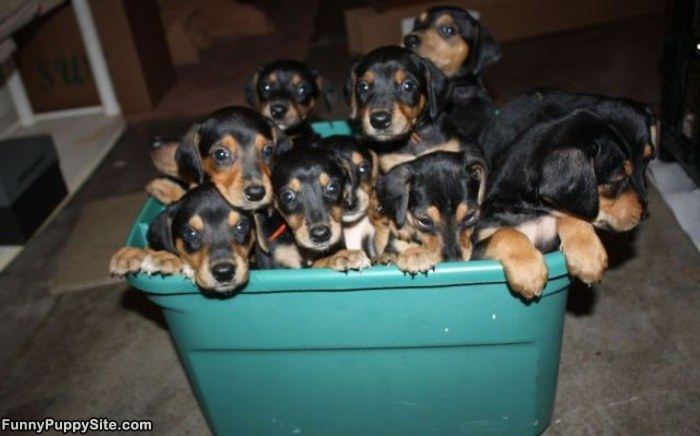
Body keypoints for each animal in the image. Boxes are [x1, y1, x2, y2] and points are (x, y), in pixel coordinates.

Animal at [476, 108, 656, 300]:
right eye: (618, 177)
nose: (646, 213)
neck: (532, 209)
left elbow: (571, 215)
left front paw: (588, 257)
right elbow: (504, 232)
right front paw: (529, 272)